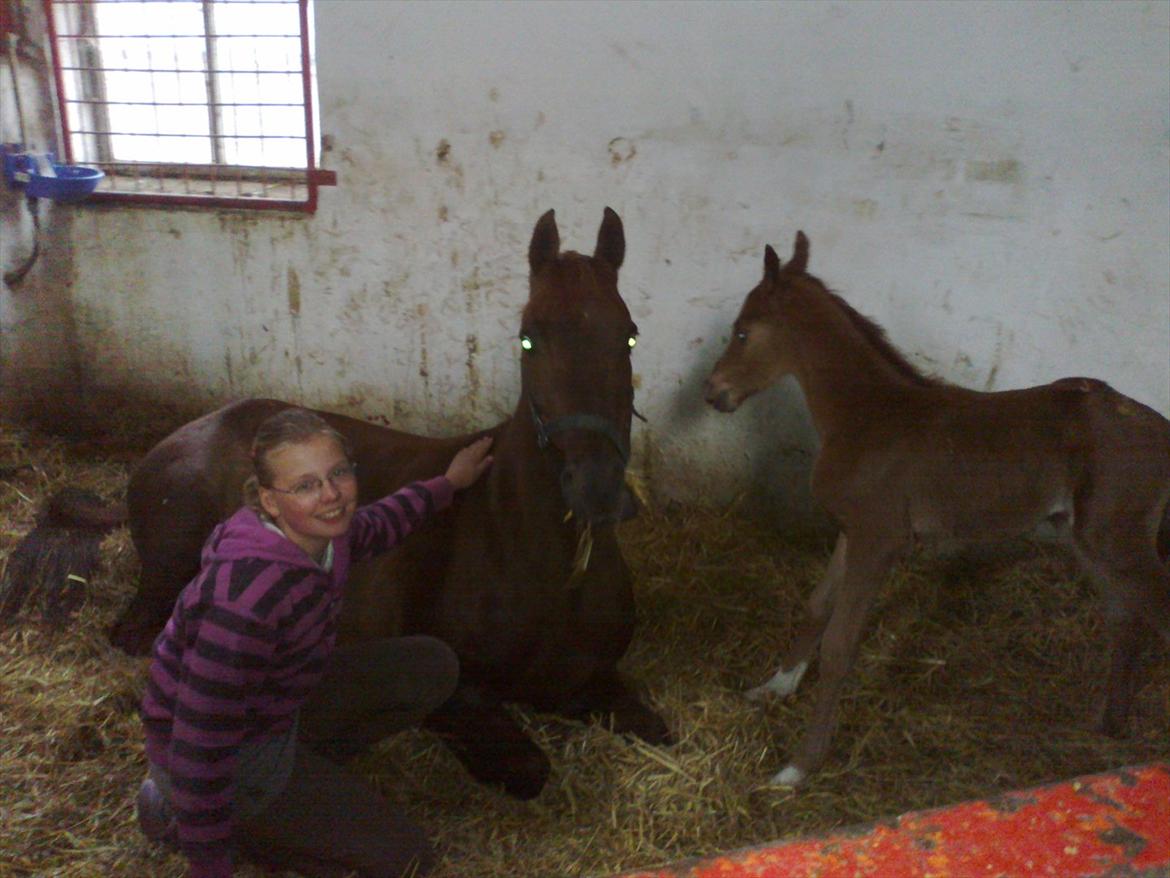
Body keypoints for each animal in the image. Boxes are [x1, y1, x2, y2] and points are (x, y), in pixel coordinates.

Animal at [86, 209, 673, 800]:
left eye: (630, 336)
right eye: (528, 339)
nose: (597, 488)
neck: (544, 562)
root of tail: (185, 434)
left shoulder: (594, 679)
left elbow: (655, 730)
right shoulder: (460, 693)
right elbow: (528, 770)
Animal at [702, 234, 1170, 791]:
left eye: (742, 331)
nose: (713, 393)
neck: (864, 416)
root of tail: (1161, 428)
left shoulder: (879, 543)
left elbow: (840, 646)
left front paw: (798, 766)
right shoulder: (853, 533)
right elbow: (817, 605)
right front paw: (774, 687)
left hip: (1118, 538)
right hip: (1087, 538)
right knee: (1125, 615)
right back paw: (1109, 721)